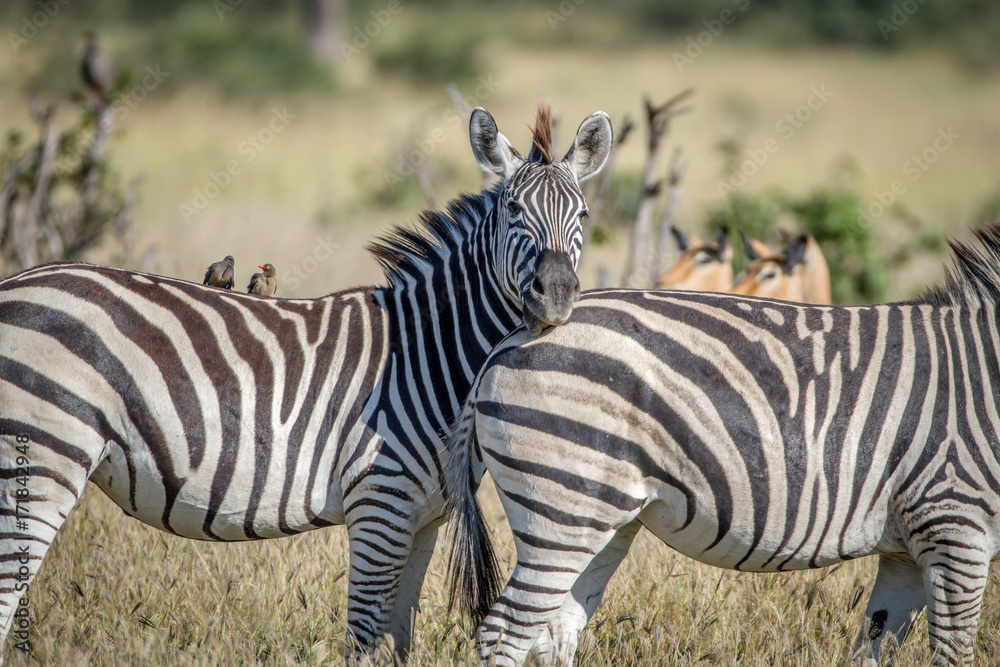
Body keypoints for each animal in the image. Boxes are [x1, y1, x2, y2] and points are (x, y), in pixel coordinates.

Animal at [0, 104, 613, 661]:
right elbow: (363, 641)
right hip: (45, 456)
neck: (427, 353)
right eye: (512, 209)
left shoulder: (423, 519)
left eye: (583, 214)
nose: (557, 294)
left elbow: (398, 642)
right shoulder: (379, 506)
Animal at [446, 223, 1000, 666]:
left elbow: (872, 648)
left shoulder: (907, 552)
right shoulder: (955, 526)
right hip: (561, 509)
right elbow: (952, 654)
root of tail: (512, 337)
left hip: (600, 517)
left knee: (553, 633)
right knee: (503, 635)